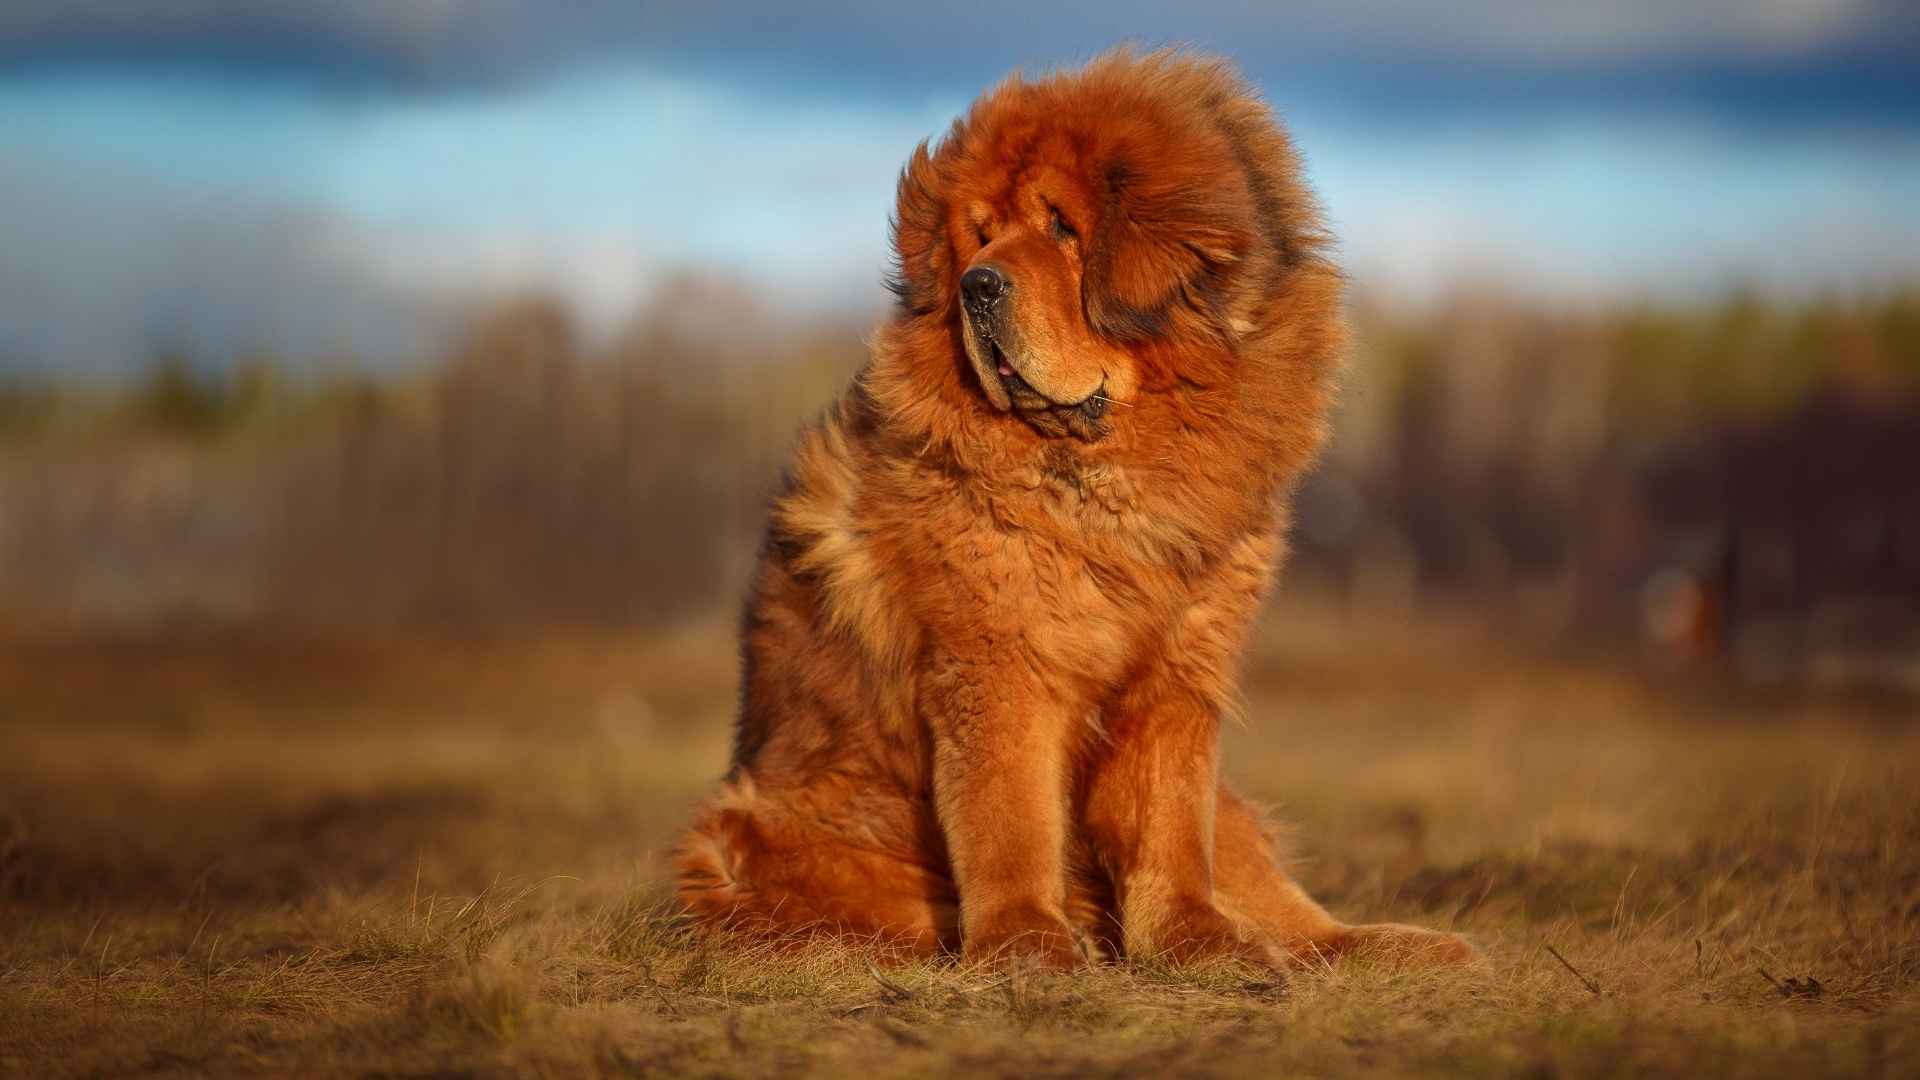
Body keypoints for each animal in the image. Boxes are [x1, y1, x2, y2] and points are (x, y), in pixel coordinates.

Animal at [675, 48, 1466, 968]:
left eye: (1060, 227)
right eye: (981, 235)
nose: (978, 285)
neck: (1113, 472)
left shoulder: (1179, 676)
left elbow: (1170, 825)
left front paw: (1196, 942)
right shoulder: (1000, 667)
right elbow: (1011, 819)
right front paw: (1027, 943)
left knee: (1290, 907)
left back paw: (1396, 947)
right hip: (749, 841)